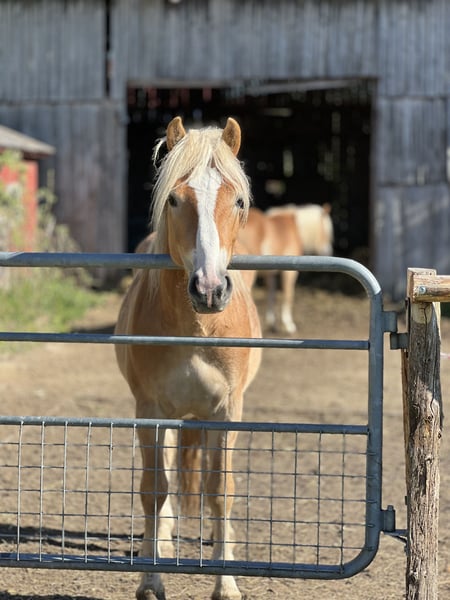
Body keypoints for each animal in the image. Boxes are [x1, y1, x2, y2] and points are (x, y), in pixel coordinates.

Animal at [115, 116, 262, 600]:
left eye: (238, 200)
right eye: (175, 199)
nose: (210, 289)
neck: (197, 327)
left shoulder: (227, 410)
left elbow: (221, 490)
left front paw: (226, 582)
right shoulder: (149, 409)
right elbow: (153, 490)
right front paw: (151, 579)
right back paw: (160, 539)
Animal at [238, 203, 333, 333]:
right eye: (326, 231)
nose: (328, 251)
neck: (296, 227)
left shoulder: (271, 274)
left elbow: (271, 295)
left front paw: (272, 323)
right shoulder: (289, 272)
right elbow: (288, 295)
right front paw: (289, 325)